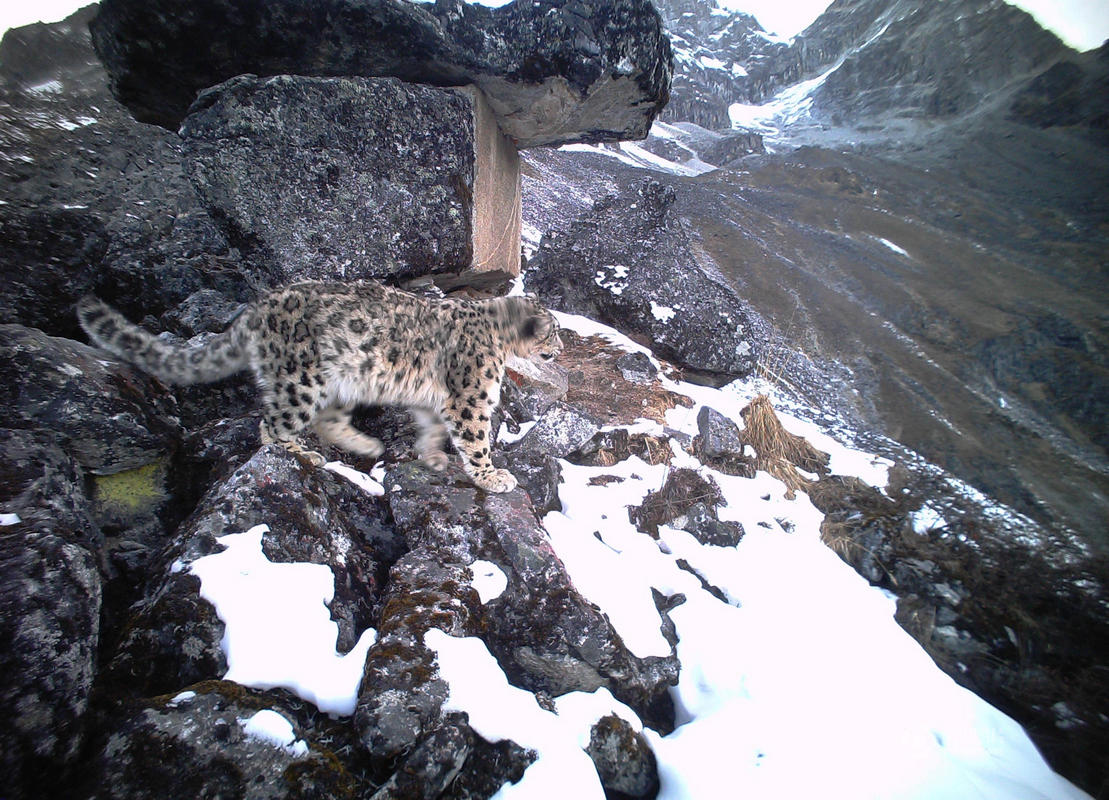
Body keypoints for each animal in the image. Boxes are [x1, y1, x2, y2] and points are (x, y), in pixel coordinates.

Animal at [78, 280, 563, 492]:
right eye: (553, 332)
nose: (559, 349)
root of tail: (258, 308)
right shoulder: (470, 396)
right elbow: (476, 437)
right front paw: (492, 476)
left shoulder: (433, 400)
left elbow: (430, 427)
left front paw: (433, 458)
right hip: (300, 378)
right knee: (272, 424)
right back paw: (301, 453)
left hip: (338, 382)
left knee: (327, 420)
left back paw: (366, 445)